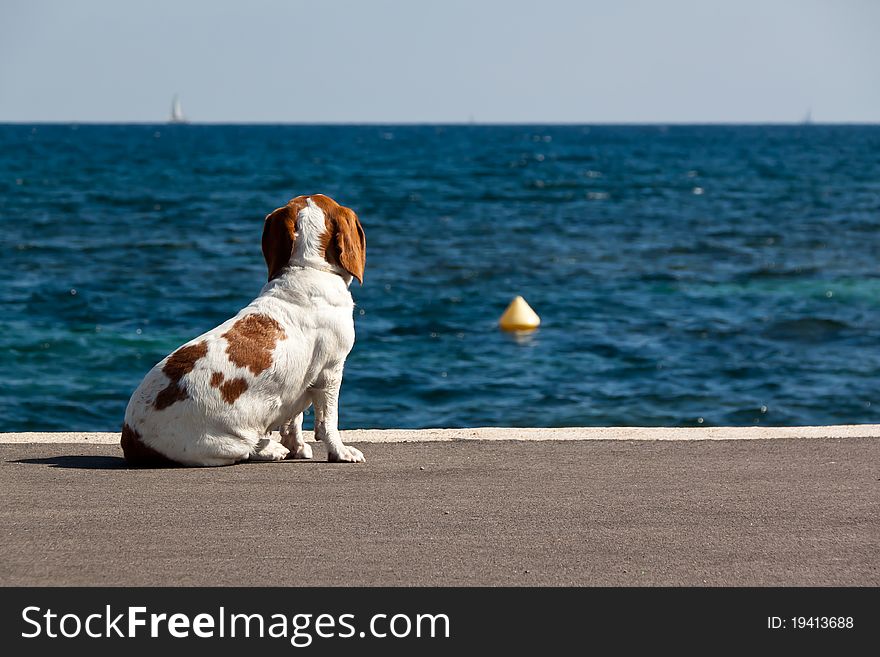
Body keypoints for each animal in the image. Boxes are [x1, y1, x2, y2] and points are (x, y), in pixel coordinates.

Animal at [119, 192, 364, 464]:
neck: (307, 267)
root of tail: (131, 437)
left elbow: (293, 421)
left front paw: (297, 447)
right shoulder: (331, 372)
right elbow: (328, 421)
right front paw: (340, 452)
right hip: (225, 444)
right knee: (246, 449)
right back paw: (270, 449)